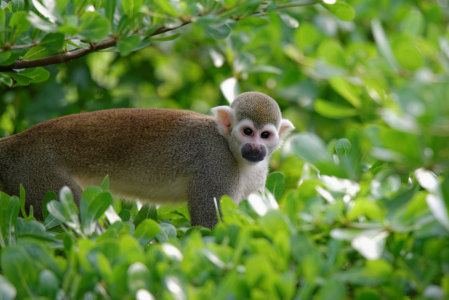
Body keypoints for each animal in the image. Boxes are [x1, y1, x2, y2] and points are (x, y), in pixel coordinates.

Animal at [0, 91, 294, 227]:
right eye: (247, 132)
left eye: (265, 135)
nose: (256, 149)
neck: (234, 153)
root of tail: (15, 142)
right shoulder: (216, 163)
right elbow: (209, 225)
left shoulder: (258, 172)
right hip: (35, 174)